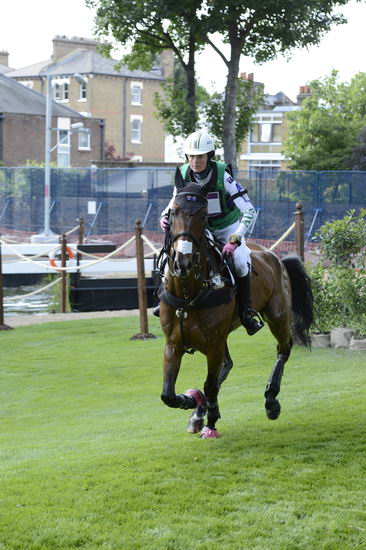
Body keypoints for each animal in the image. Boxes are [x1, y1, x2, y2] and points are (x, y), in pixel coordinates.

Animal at [158, 178, 314, 440]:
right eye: (173, 212)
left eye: (203, 214)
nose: (182, 261)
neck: (189, 294)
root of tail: (276, 257)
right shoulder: (174, 344)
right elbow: (168, 395)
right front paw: (192, 402)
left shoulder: (213, 344)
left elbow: (210, 385)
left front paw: (208, 414)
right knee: (228, 365)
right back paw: (199, 412)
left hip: (277, 316)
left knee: (284, 348)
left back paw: (271, 400)